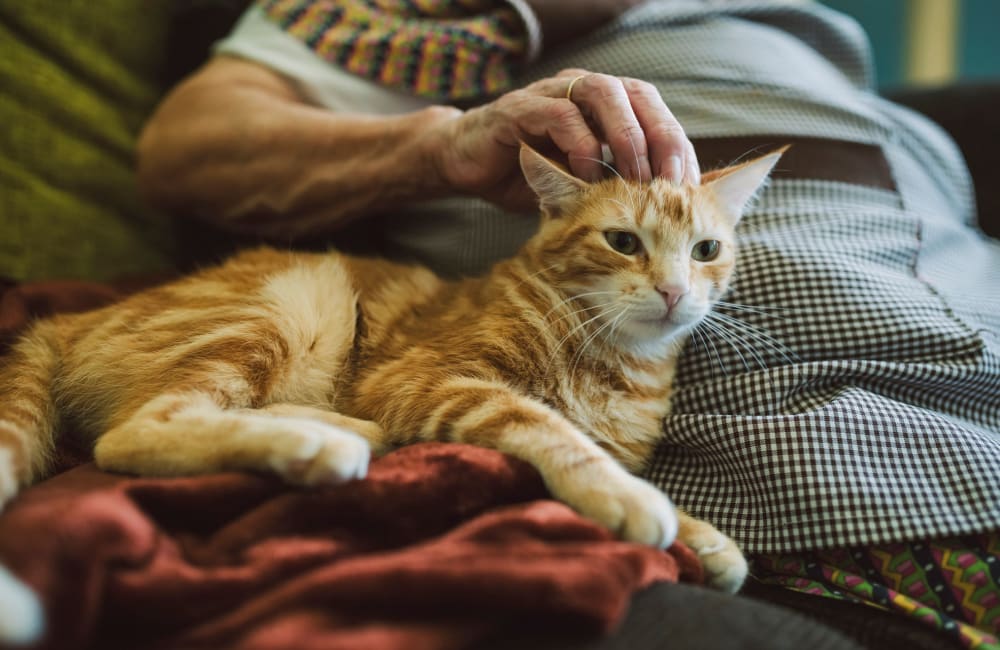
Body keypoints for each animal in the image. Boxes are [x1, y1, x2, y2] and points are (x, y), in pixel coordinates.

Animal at [0, 144, 780, 588]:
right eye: (623, 242)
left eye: (706, 250)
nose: (674, 291)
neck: (618, 362)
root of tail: (67, 318)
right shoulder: (425, 378)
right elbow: (552, 429)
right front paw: (631, 500)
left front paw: (702, 535)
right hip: (290, 301)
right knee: (135, 431)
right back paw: (313, 444)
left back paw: (343, 430)